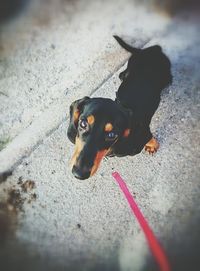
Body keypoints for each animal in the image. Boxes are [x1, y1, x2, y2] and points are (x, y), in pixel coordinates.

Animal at [67, 36, 172, 181]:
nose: (79, 174)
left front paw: (152, 146)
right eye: (83, 123)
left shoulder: (144, 132)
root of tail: (153, 49)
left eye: (112, 135)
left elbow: (150, 138)